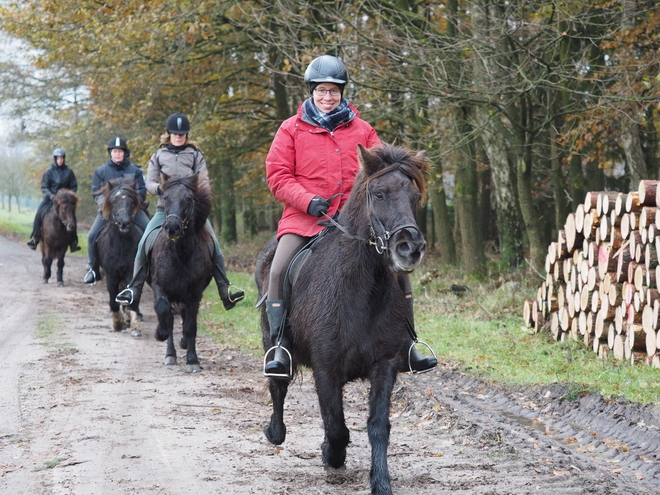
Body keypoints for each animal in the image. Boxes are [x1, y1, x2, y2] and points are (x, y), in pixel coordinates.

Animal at [96, 178, 145, 338]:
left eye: (132, 202)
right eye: (113, 201)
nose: (124, 223)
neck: (122, 243)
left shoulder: (131, 273)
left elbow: (130, 296)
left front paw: (134, 325)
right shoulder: (111, 275)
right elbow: (113, 299)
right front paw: (117, 323)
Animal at [148, 174, 213, 372]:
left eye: (189, 199)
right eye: (166, 197)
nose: (172, 228)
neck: (180, 254)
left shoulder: (195, 293)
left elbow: (191, 325)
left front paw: (192, 360)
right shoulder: (159, 286)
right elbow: (165, 313)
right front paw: (160, 333)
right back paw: (170, 354)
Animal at [255, 143, 430, 495]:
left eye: (415, 197)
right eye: (378, 193)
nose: (410, 248)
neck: (362, 289)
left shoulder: (385, 365)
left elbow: (377, 426)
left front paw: (381, 483)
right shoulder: (326, 368)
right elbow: (335, 425)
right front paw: (331, 455)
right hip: (272, 341)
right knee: (278, 386)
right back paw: (275, 432)